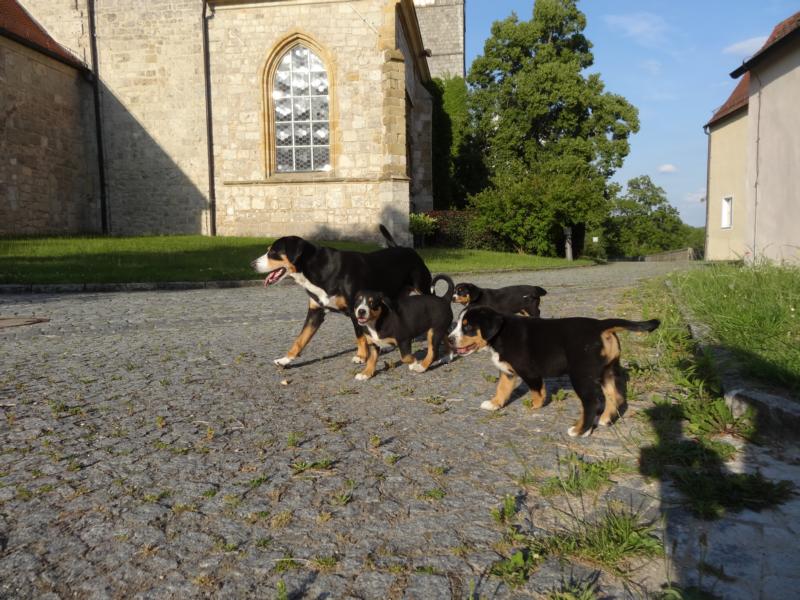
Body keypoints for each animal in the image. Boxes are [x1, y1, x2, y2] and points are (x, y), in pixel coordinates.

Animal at [251, 225, 433, 367]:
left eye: (273, 252)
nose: (252, 264)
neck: (319, 270)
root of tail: (407, 249)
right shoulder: (315, 312)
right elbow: (300, 339)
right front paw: (285, 359)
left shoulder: (356, 309)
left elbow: (360, 336)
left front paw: (361, 356)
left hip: (423, 288)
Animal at [449, 306, 660, 437]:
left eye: (468, 327)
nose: (449, 339)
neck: (501, 333)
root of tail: (600, 325)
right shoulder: (507, 372)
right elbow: (502, 389)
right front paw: (494, 404)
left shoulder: (529, 372)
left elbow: (537, 391)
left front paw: (535, 406)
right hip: (607, 370)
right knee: (615, 396)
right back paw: (605, 420)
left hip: (581, 375)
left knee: (592, 402)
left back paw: (580, 431)